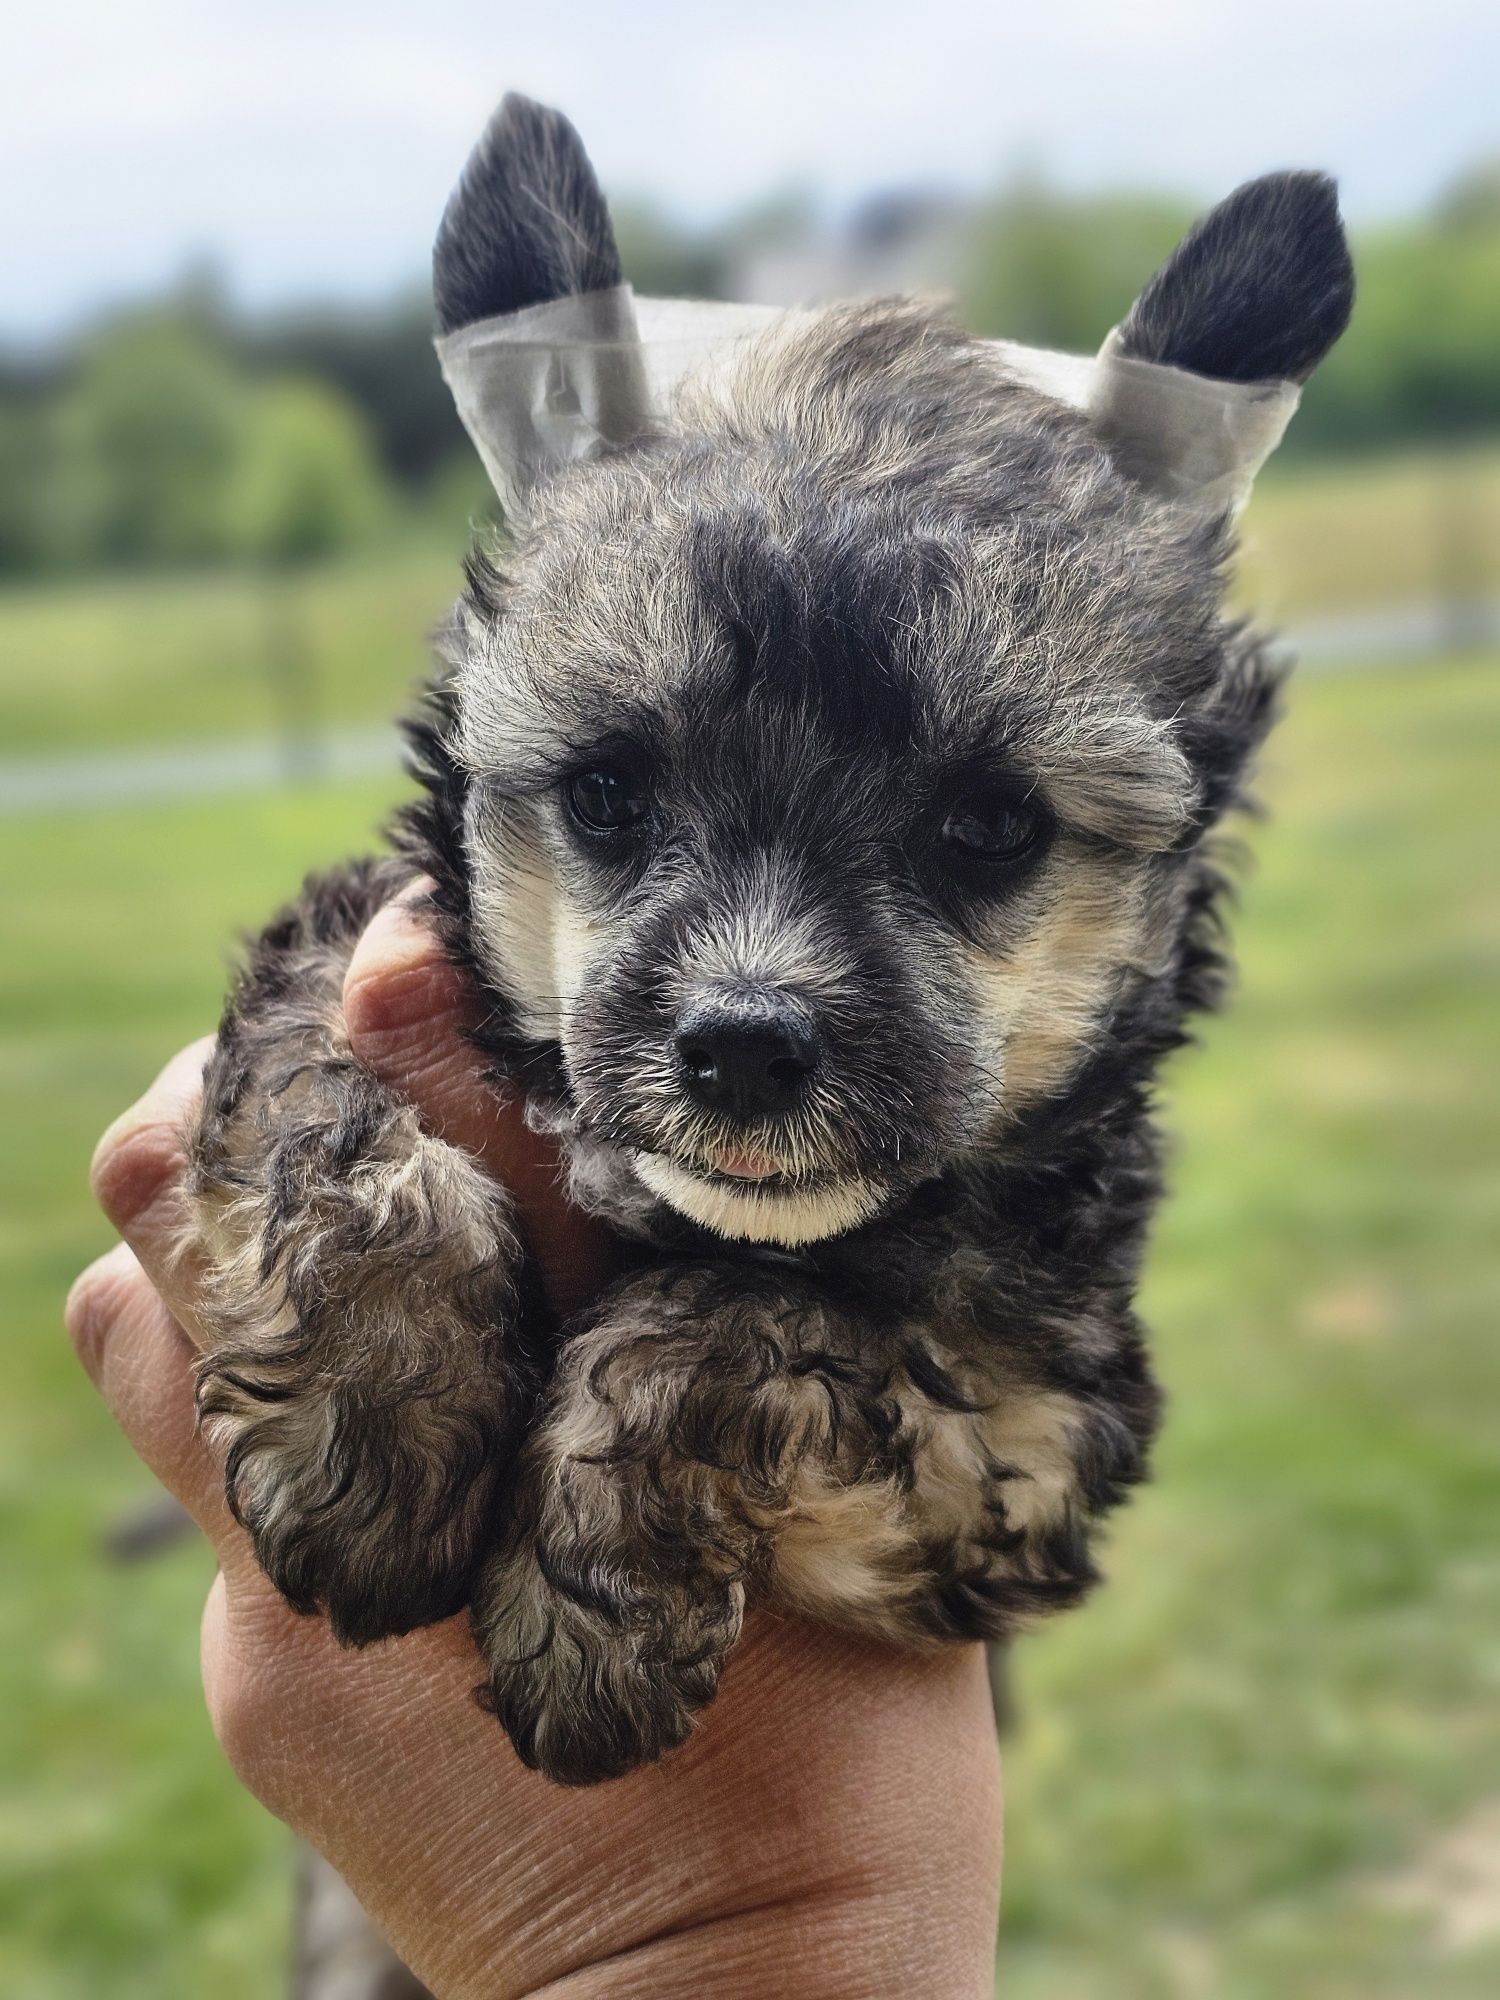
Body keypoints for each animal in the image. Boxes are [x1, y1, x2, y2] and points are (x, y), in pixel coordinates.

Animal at [182, 97, 1360, 1784]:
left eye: (990, 826)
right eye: (609, 793)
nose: (743, 1042)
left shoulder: (1024, 1432)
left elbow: (759, 1317)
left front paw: (590, 1610)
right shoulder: (344, 939)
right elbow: (319, 1092)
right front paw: (376, 1434)